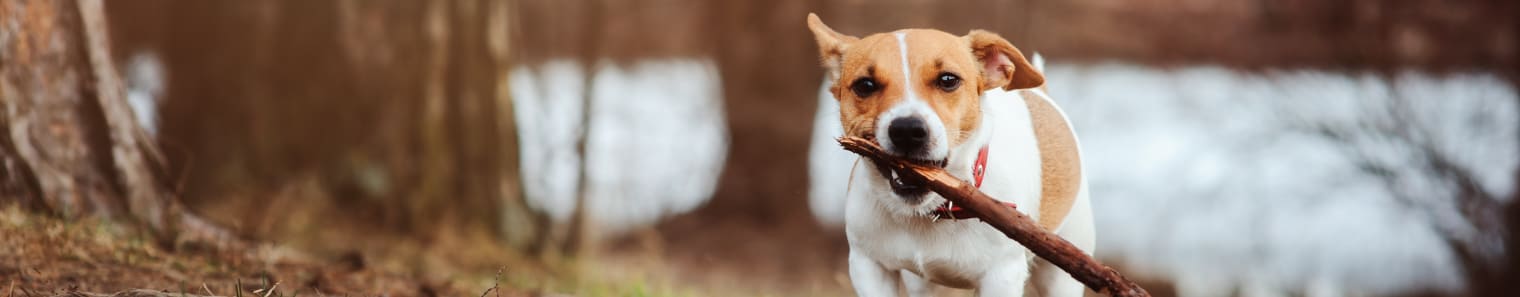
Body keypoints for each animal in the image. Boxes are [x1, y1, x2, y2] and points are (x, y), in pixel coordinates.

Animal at [808, 13, 1094, 297]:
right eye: (865, 85)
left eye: (948, 80)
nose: (907, 130)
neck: (933, 210)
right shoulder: (868, 266)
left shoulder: (1001, 277)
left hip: (1061, 272)